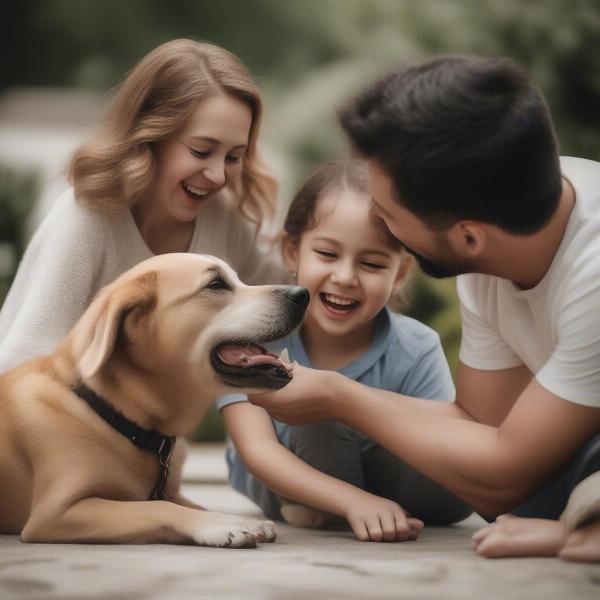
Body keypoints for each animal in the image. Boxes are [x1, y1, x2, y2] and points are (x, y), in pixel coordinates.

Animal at [0, 253, 310, 548]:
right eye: (216, 284)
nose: (302, 293)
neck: (108, 412)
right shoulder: (55, 513)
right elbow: (157, 507)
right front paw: (221, 525)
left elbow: (186, 503)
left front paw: (239, 520)